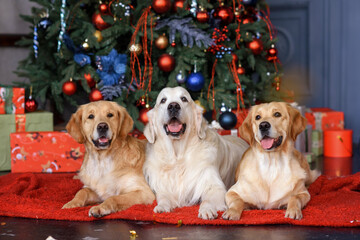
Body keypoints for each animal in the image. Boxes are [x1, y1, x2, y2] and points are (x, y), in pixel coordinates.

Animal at [142, 86, 249, 219]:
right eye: (163, 100)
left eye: (184, 99)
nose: (173, 106)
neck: (178, 155)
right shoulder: (163, 187)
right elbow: (163, 197)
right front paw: (161, 207)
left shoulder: (215, 186)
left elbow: (207, 200)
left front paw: (207, 210)